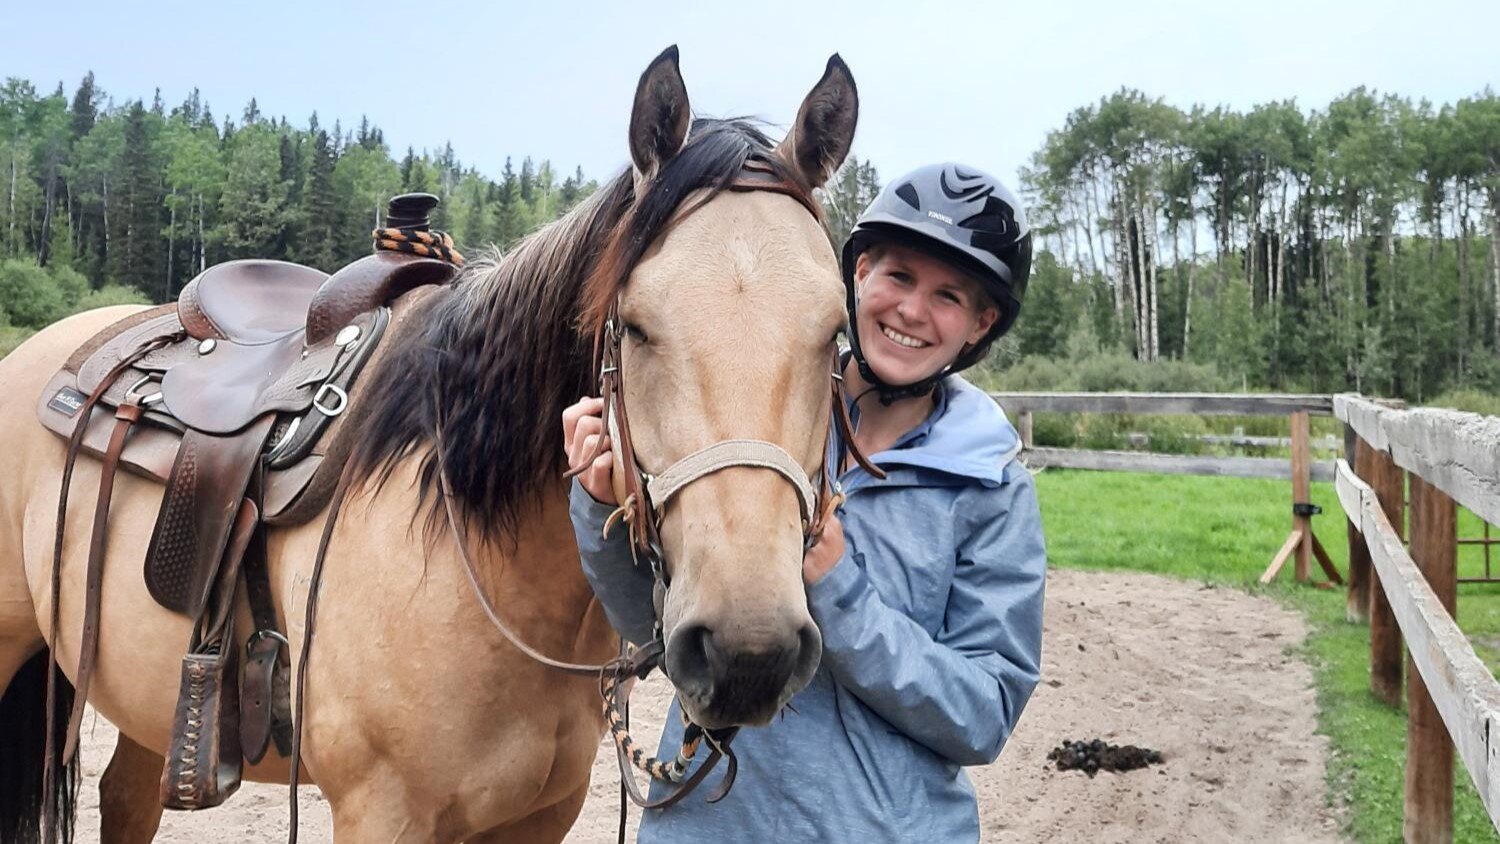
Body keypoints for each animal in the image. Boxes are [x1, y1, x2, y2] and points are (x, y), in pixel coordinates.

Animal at [0, 46, 858, 843]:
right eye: (639, 327)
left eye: (835, 334)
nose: (748, 653)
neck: (478, 556)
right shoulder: (383, 811)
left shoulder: (540, 815)